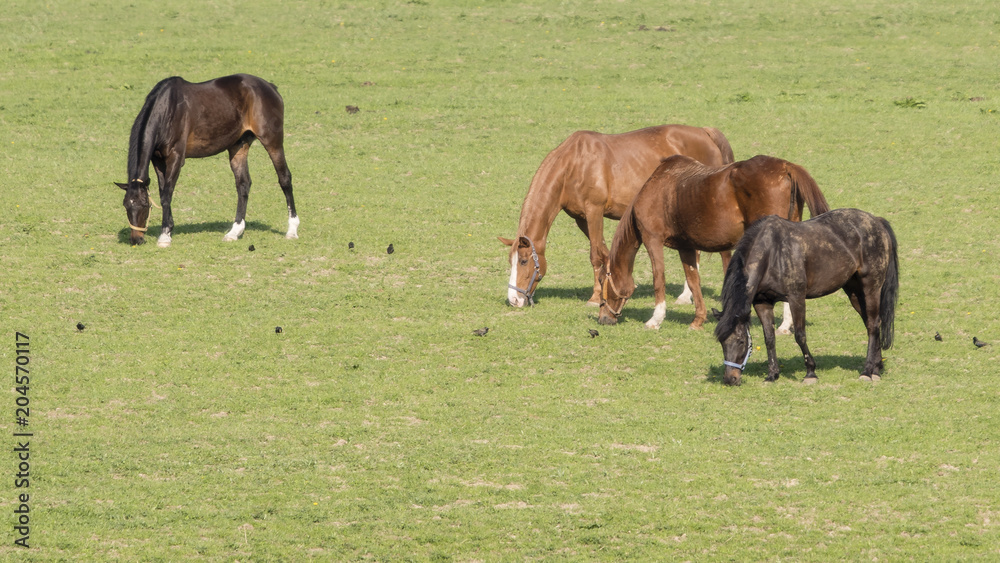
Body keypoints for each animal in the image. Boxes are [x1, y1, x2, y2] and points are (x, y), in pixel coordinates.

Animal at [116, 74, 298, 247]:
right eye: (126, 205)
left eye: (144, 205)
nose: (136, 240)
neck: (167, 109)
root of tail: (270, 87)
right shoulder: (158, 160)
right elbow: (163, 192)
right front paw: (169, 228)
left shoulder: (176, 158)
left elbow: (167, 194)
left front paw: (164, 236)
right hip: (238, 146)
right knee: (243, 185)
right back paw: (234, 232)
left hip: (272, 141)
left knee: (284, 179)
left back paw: (292, 230)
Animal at [499, 124, 734, 308]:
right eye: (511, 261)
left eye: (523, 261)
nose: (513, 300)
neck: (574, 165)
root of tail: (705, 133)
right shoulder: (581, 218)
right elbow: (604, 253)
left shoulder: (594, 211)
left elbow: (595, 255)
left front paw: (595, 297)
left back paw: (686, 296)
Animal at [597, 154, 830, 331]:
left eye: (601, 281)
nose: (603, 318)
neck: (658, 185)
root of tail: (785, 167)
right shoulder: (686, 246)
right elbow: (693, 281)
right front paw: (698, 319)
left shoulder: (652, 239)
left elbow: (658, 279)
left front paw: (656, 319)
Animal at [713, 208, 899, 386]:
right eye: (722, 342)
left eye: (741, 341)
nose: (730, 379)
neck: (771, 254)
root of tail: (877, 221)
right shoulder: (762, 303)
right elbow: (769, 338)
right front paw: (772, 375)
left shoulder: (796, 298)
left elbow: (800, 335)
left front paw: (810, 373)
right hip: (854, 292)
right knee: (872, 324)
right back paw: (876, 368)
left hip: (871, 287)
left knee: (873, 325)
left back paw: (867, 371)